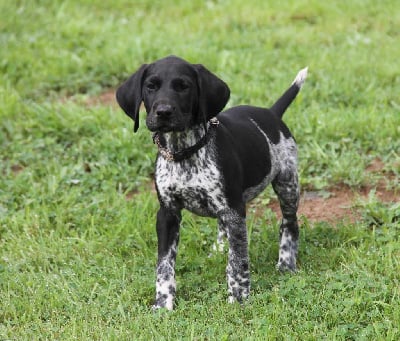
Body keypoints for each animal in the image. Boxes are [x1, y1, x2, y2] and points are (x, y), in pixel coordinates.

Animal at [114, 55, 308, 308]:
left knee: (289, 224)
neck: (184, 152)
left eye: (184, 86)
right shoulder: (167, 214)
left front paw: (238, 299)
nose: (163, 112)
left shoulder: (234, 212)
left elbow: (237, 262)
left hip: (287, 184)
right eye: (151, 86)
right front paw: (163, 303)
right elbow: (164, 264)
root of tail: (272, 113)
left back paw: (286, 264)